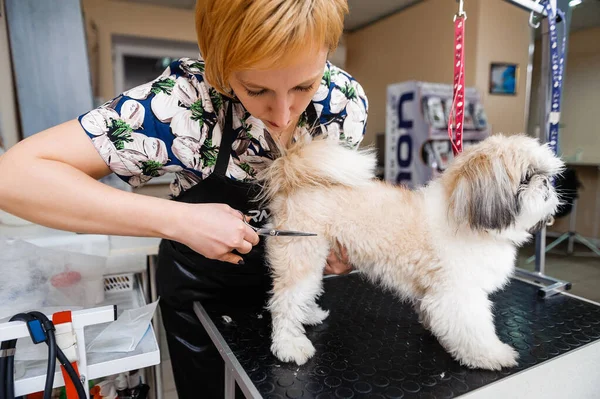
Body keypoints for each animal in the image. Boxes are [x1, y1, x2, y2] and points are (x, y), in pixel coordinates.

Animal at [256, 134, 564, 372]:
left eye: (546, 175)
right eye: (526, 177)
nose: (546, 184)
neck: (465, 216)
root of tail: (290, 176)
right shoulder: (459, 295)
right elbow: (475, 331)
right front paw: (492, 355)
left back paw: (308, 314)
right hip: (300, 252)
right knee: (284, 304)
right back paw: (289, 346)